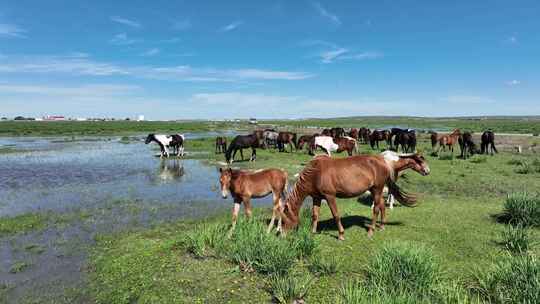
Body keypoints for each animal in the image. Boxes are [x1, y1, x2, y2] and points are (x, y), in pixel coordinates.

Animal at [278, 153, 430, 239]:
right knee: (381, 206)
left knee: (376, 209)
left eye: (284, 221)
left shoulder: (330, 196)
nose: (281, 236)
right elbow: (315, 215)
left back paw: (370, 232)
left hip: (377, 189)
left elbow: (336, 215)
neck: (316, 173)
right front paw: (313, 232)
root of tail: (384, 161)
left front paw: (341, 235)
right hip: (375, 190)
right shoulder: (317, 197)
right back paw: (381, 226)